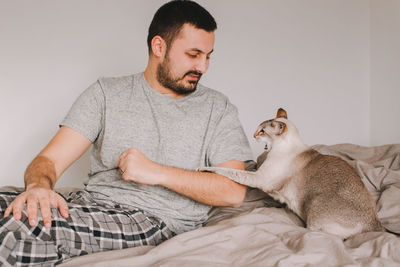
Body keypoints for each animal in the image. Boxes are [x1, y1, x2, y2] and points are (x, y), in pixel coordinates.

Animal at [200, 109, 384, 241]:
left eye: (262, 131)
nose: (253, 135)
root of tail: (376, 225)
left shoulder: (257, 178)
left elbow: (230, 171)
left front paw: (204, 168)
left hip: (315, 206)